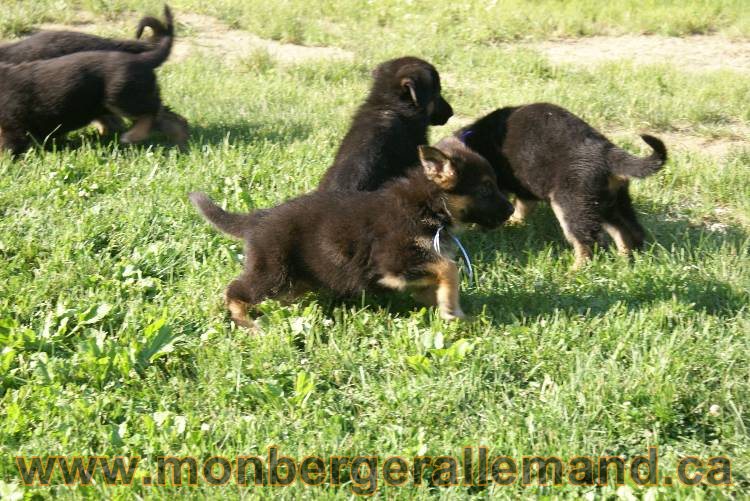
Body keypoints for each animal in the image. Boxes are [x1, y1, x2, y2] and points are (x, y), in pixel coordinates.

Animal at [191, 136, 516, 328]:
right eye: (486, 189)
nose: (511, 211)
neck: (428, 206)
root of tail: (258, 218)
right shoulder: (394, 262)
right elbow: (449, 268)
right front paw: (452, 309)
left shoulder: (411, 270)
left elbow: (437, 282)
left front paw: (453, 312)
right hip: (273, 274)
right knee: (235, 290)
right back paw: (246, 323)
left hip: (293, 280)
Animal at [458, 102, 668, 270]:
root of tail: (607, 153)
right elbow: (521, 207)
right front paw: (514, 222)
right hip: (611, 203)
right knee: (630, 231)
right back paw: (628, 260)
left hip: (571, 203)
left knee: (589, 242)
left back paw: (576, 270)